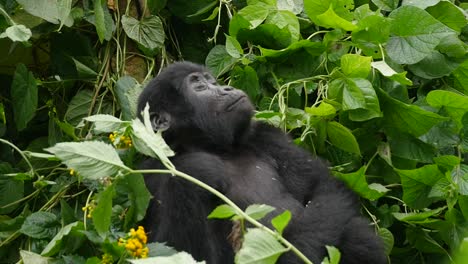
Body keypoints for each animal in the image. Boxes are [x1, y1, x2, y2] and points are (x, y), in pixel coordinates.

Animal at [137, 62, 386, 264]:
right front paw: (196, 166)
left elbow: (323, 188)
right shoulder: (147, 174)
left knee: (351, 229)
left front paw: (298, 253)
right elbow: (173, 249)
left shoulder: (266, 135)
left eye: (213, 82)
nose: (227, 88)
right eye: (199, 87)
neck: (214, 147)